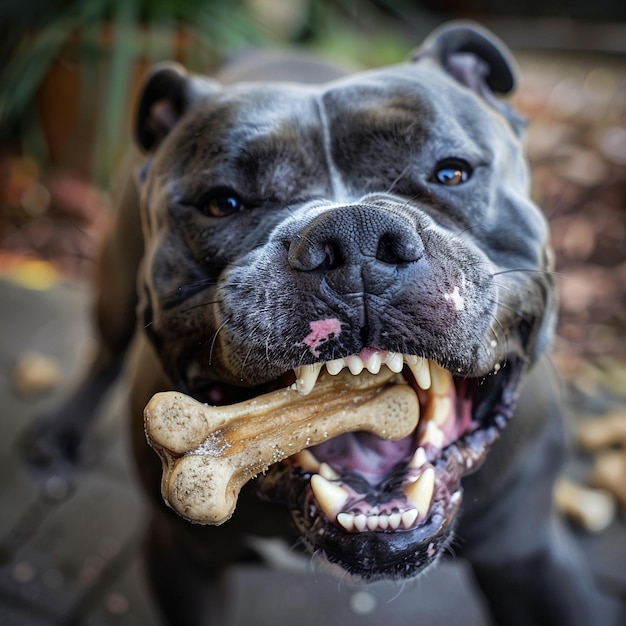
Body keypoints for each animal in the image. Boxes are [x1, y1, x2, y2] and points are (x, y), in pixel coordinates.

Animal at [24, 20, 604, 624]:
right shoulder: (181, 557)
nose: (355, 237)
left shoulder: (531, 559)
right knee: (104, 351)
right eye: (221, 203)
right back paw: (60, 431)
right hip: (114, 273)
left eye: (452, 172)